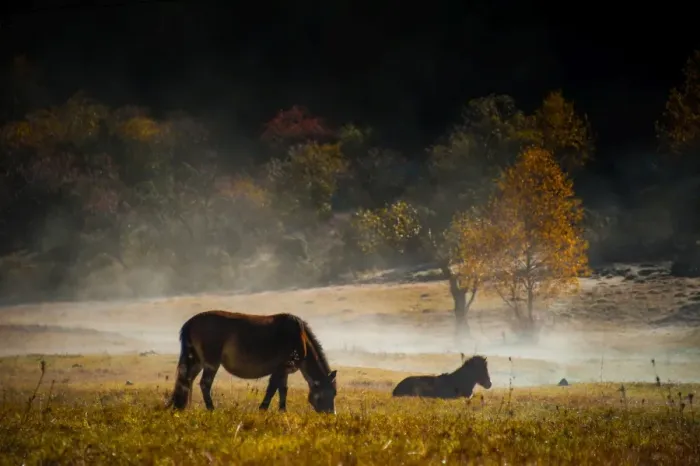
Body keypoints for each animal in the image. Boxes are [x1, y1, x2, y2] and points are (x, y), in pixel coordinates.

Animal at [166, 310, 337, 414]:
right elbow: (272, 389)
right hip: (211, 363)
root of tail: (190, 323)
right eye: (332, 392)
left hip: (195, 361)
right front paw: (263, 409)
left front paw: (282, 411)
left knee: (185, 382)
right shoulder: (281, 368)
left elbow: (283, 390)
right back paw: (211, 409)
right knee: (204, 384)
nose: (331, 414)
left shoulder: (285, 371)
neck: (300, 337)